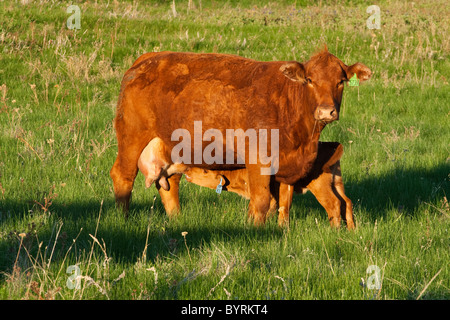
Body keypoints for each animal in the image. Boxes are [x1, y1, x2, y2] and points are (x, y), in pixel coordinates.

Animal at [110, 47, 370, 225]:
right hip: (132, 137)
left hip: (171, 148)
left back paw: (177, 219)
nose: (326, 111)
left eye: (341, 81)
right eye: (309, 80)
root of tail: (149, 59)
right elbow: (261, 201)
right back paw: (122, 220)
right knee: (123, 176)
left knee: (169, 184)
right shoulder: (258, 161)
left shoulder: (287, 167)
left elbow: (283, 203)